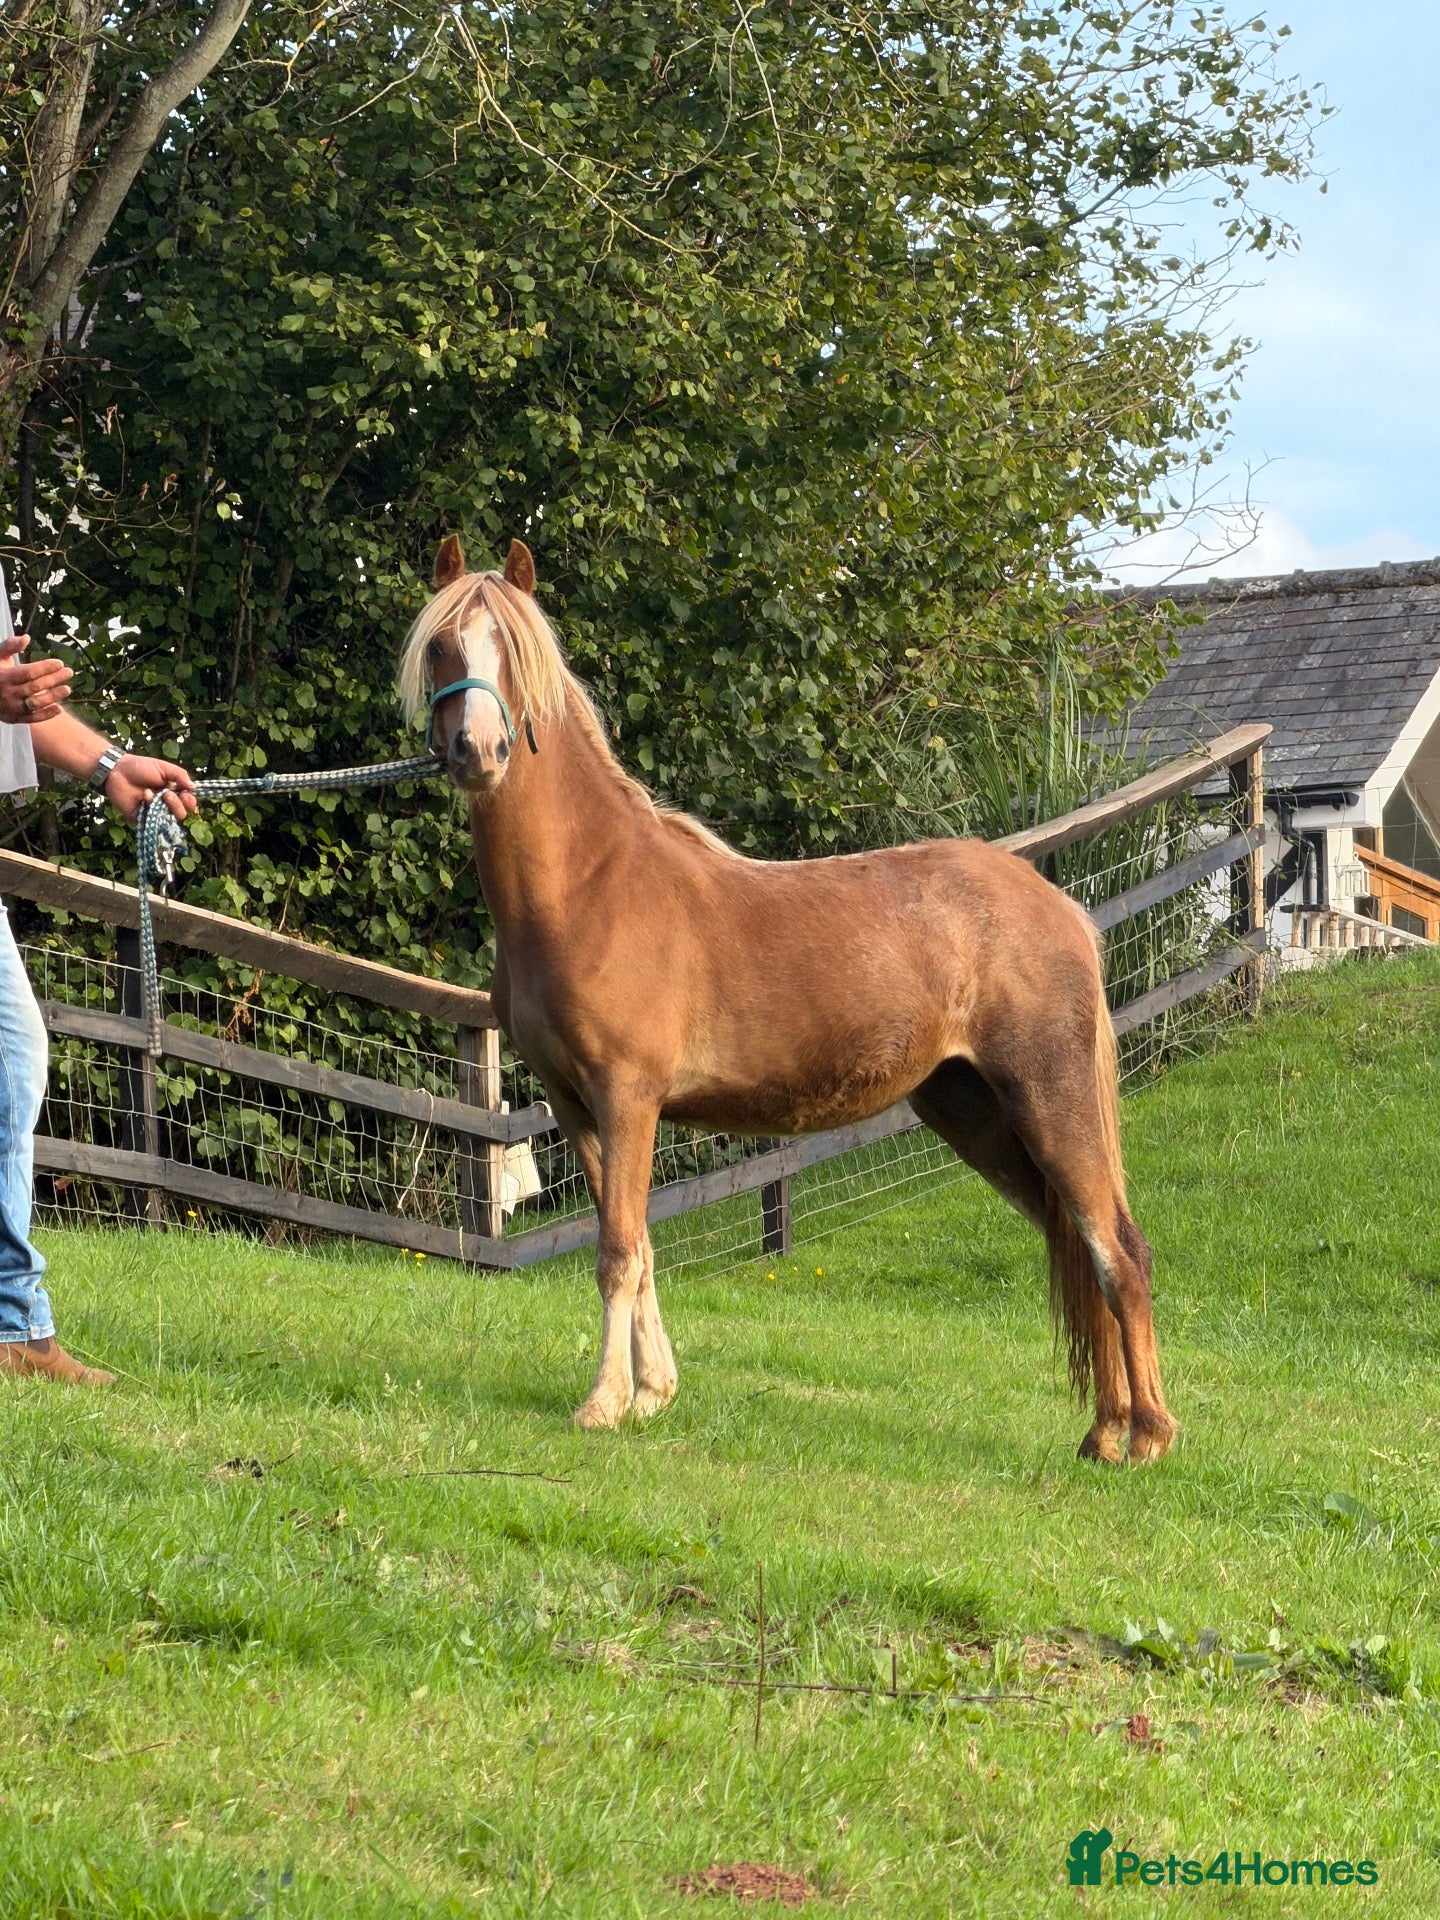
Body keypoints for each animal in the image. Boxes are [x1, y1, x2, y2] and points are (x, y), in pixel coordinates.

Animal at [398, 534, 1177, 1464]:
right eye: (444, 647)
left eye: (512, 652)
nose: (478, 752)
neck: (588, 888)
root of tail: (1060, 907)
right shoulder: (577, 1105)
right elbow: (641, 1245)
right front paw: (654, 1392)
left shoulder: (628, 1099)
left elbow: (617, 1249)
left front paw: (604, 1404)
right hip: (974, 1113)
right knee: (1079, 1247)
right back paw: (1105, 1430)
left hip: (1048, 1099)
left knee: (1119, 1249)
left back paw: (1150, 1435)